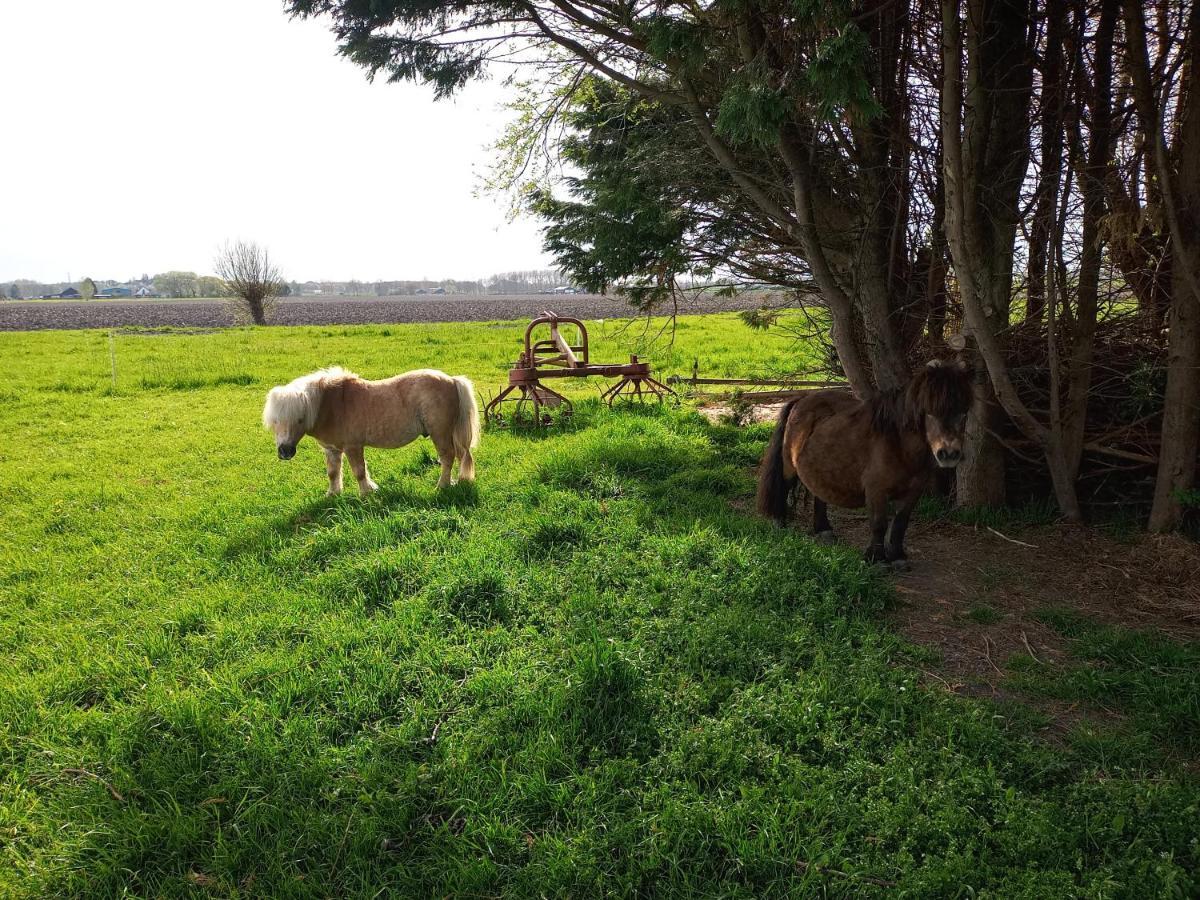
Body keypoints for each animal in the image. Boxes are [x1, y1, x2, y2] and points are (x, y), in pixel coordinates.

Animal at [262, 367, 477, 496]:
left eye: (299, 418)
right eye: (275, 421)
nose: (285, 452)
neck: (330, 405)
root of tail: (452, 380)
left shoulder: (353, 447)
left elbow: (359, 471)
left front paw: (366, 493)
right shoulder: (332, 449)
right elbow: (333, 472)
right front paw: (333, 494)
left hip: (439, 433)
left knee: (447, 457)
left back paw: (442, 486)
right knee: (458, 456)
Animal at [758, 360, 974, 571]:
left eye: (964, 412)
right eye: (929, 412)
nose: (949, 454)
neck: (898, 445)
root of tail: (801, 399)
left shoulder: (913, 492)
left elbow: (900, 523)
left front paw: (898, 557)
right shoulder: (876, 490)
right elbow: (879, 524)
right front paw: (877, 560)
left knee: (819, 494)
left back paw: (824, 530)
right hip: (789, 466)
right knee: (784, 486)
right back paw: (779, 523)